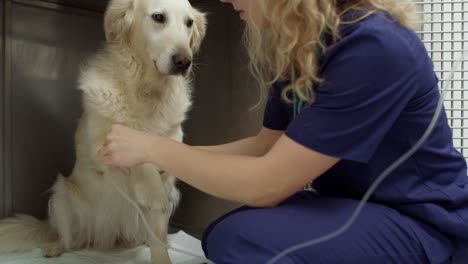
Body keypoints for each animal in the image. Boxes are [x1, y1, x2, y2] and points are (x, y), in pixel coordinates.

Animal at [0, 0, 207, 262]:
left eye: (189, 22)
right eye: (158, 17)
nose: (183, 61)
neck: (146, 93)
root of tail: (112, 236)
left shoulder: (169, 174)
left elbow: (159, 231)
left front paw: (162, 257)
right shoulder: (101, 148)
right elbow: (134, 153)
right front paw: (150, 189)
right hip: (62, 195)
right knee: (69, 238)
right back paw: (56, 247)